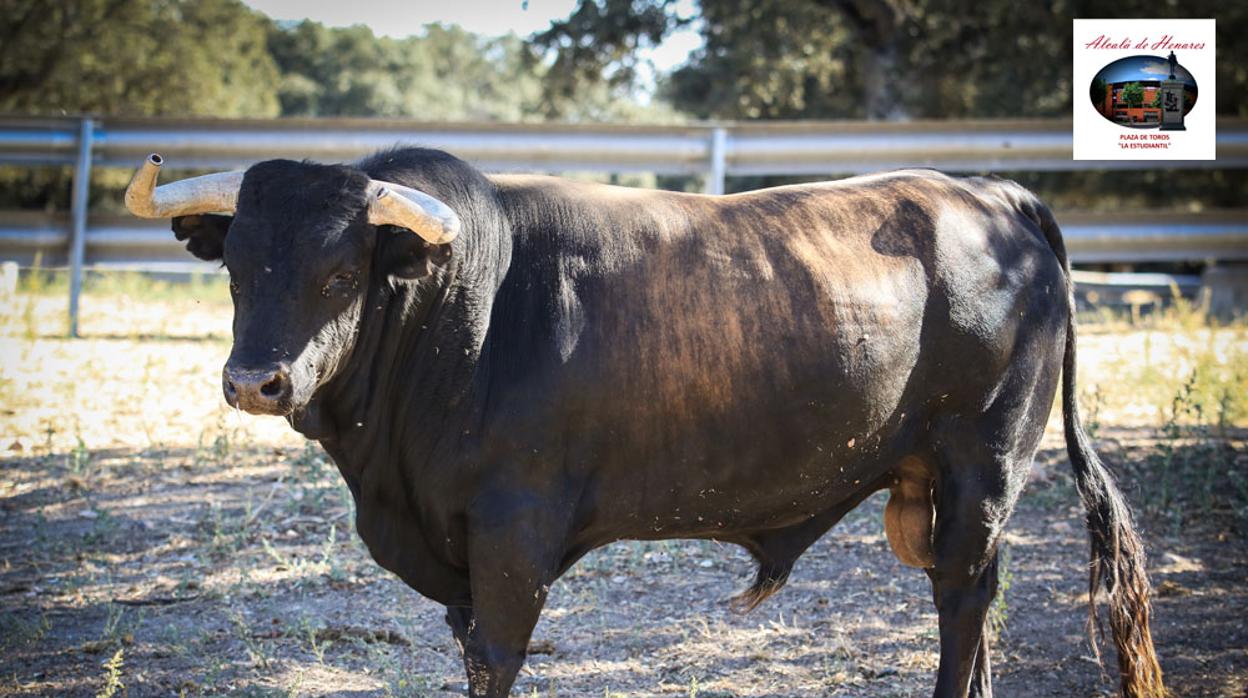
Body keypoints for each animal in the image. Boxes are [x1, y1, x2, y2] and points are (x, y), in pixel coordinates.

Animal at [121, 146, 1163, 694]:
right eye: (235, 268)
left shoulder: (512, 535)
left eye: (341, 275)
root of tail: (991, 192)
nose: (256, 381)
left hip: (984, 463)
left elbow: (496, 656)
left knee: (964, 597)